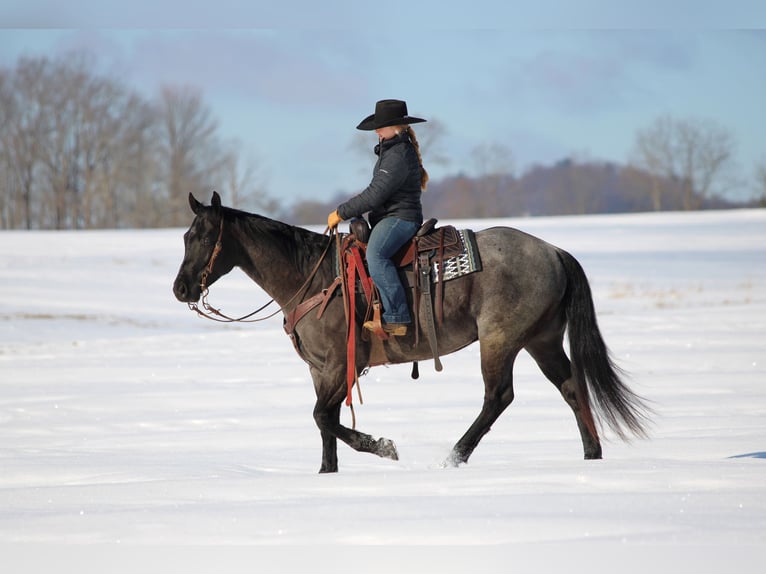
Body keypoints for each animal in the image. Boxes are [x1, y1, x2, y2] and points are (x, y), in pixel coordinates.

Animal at [173, 192, 650, 473]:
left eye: (204, 236)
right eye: (184, 236)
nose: (181, 289)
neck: (312, 277)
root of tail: (553, 251)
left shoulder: (339, 365)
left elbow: (323, 417)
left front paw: (383, 446)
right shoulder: (320, 369)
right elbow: (325, 423)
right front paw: (328, 473)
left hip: (501, 340)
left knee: (498, 397)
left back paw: (454, 457)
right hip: (542, 339)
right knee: (571, 387)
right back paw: (591, 455)